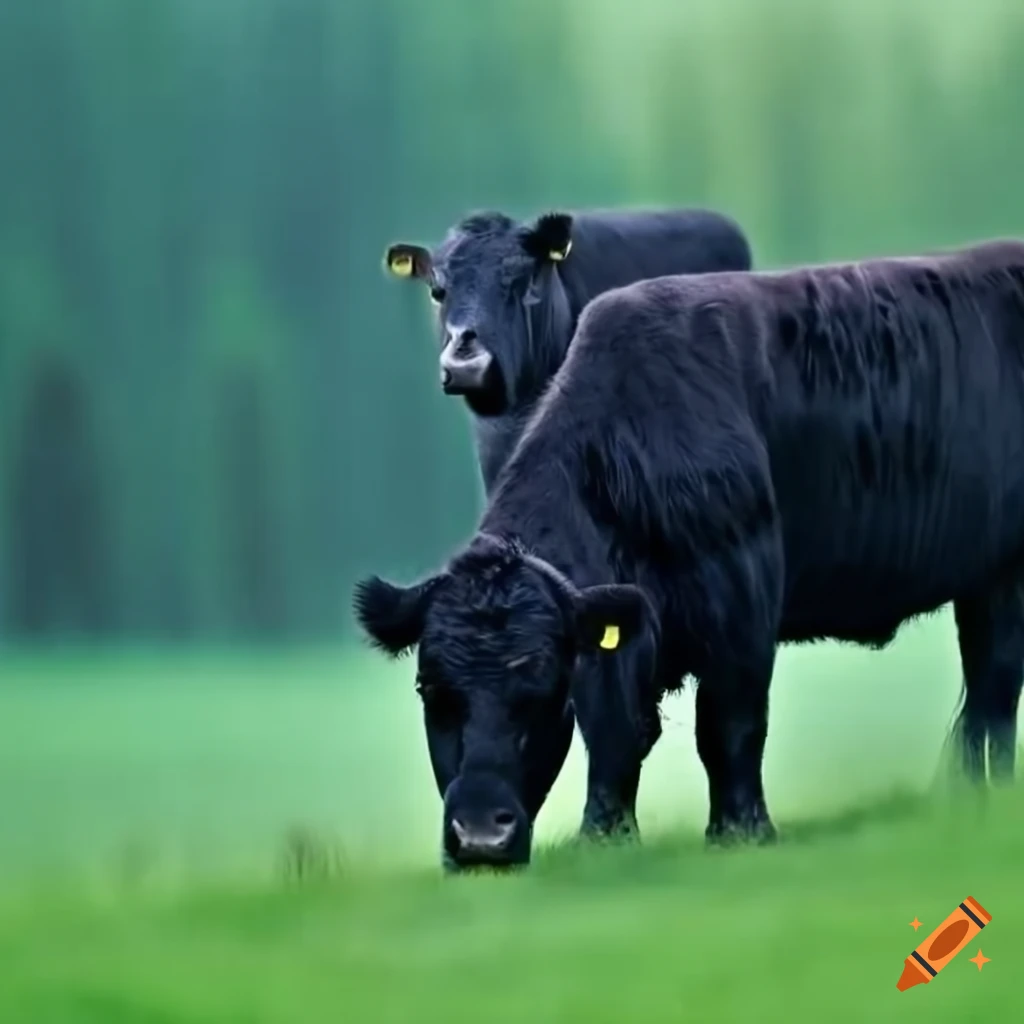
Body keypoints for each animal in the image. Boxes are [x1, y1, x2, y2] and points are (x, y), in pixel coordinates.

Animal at [356, 238, 1024, 871]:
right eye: (430, 690)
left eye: (542, 690)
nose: (479, 836)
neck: (625, 460)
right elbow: (617, 732)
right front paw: (604, 837)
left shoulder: (742, 610)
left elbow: (728, 725)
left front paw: (741, 832)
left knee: (994, 686)